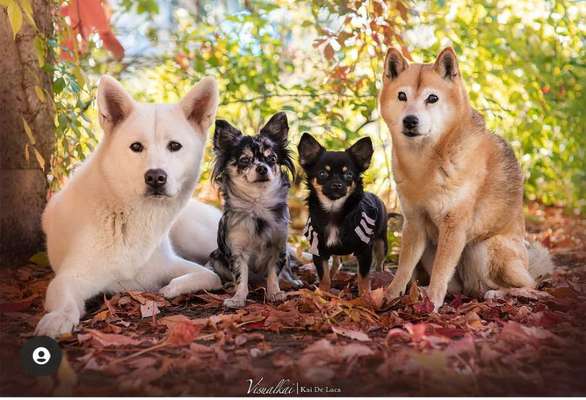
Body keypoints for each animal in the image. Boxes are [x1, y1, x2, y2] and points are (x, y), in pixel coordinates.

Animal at [34, 76, 221, 338]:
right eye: (136, 147)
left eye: (175, 146)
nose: (155, 177)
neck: (126, 217)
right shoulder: (70, 277)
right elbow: (66, 301)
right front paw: (58, 318)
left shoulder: (171, 265)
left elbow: (210, 275)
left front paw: (173, 287)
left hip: (195, 236)